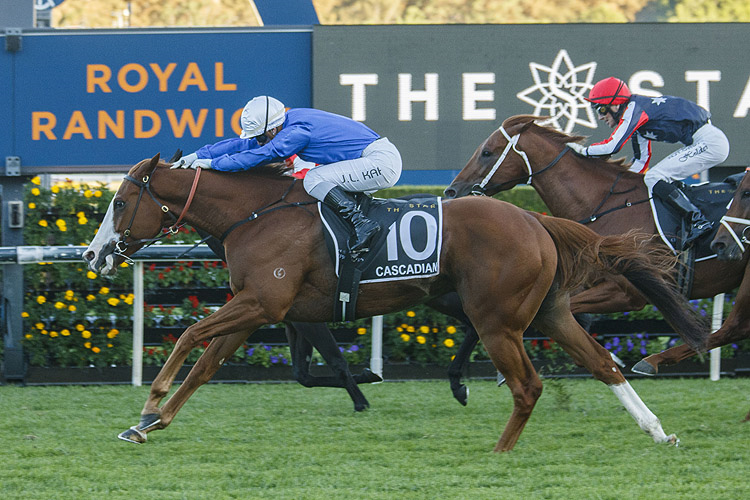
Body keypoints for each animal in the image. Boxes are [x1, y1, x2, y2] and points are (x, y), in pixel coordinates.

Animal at [85, 154, 708, 452]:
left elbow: (191, 336)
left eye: (118, 203)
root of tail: (534, 218)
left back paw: (499, 450)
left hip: (497, 320)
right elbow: (206, 365)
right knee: (603, 365)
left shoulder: (263, 303)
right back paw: (658, 432)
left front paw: (151, 401)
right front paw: (149, 423)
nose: (94, 255)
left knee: (528, 385)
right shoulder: (259, 307)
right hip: (550, 312)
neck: (256, 214)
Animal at [446, 116, 748, 376]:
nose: (452, 190)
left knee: (733, 328)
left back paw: (650, 361)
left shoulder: (626, 292)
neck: (605, 205)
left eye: (487, 152)